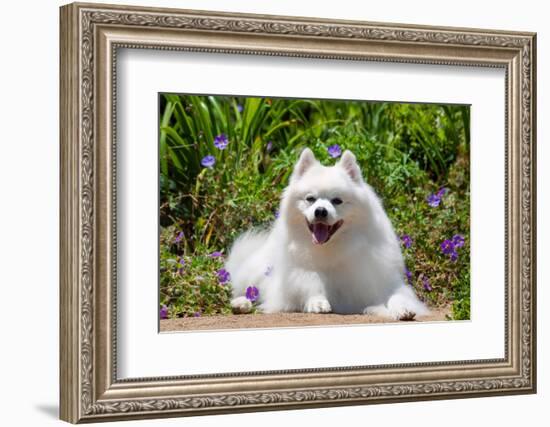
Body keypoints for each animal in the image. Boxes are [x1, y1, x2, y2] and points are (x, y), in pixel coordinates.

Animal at [226, 150, 430, 320]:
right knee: (248, 291)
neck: (332, 246)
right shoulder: (301, 273)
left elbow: (397, 296)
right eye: (310, 199)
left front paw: (402, 309)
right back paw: (241, 304)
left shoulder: (380, 280)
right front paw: (317, 301)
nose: (321, 211)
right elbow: (311, 282)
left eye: (337, 201)